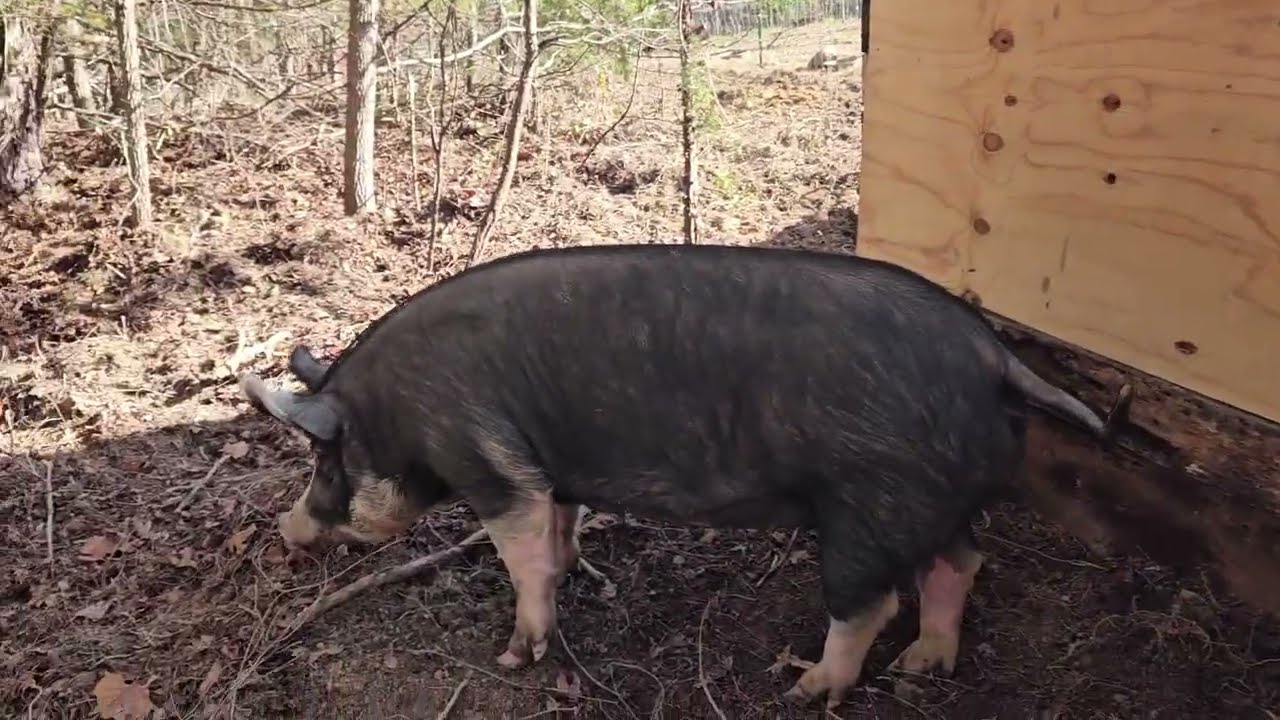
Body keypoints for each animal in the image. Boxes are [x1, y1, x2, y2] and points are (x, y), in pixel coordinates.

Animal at [239, 243, 1131, 709]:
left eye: (324, 462)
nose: (285, 530)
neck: (399, 411)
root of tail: (993, 354)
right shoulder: (552, 471)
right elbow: (558, 531)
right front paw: (575, 569)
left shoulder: (489, 460)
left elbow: (523, 557)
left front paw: (516, 656)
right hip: (931, 498)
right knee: (961, 563)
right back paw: (925, 668)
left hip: (871, 504)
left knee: (869, 601)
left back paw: (804, 687)